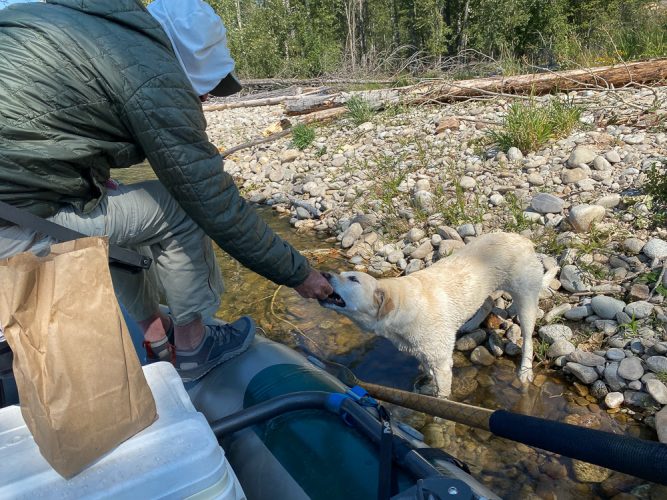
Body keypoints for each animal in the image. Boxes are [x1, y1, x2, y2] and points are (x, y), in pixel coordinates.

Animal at [320, 231, 556, 398]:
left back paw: (525, 371)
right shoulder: (421, 353)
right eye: (342, 274)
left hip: (525, 299)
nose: (323, 274)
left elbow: (442, 395)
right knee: (487, 302)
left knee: (528, 338)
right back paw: (471, 324)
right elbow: (428, 373)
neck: (401, 304)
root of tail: (525, 241)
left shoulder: (442, 362)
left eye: (353, 279)